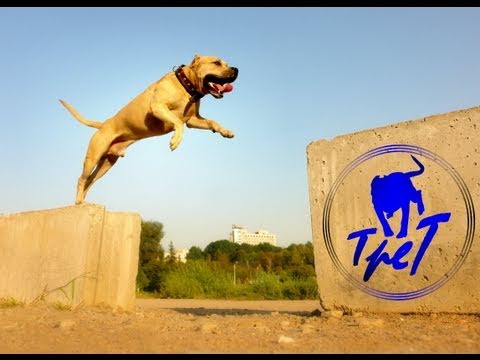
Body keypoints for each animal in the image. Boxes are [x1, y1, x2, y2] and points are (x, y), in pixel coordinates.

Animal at [60, 54, 240, 204]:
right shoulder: (157, 107)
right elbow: (177, 122)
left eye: (227, 63)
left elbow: (211, 122)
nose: (236, 69)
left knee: (90, 181)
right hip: (93, 157)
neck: (186, 85)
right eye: (216, 63)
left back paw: (82, 203)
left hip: (107, 163)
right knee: (82, 179)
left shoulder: (192, 120)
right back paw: (78, 202)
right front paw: (175, 140)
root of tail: (103, 124)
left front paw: (225, 131)